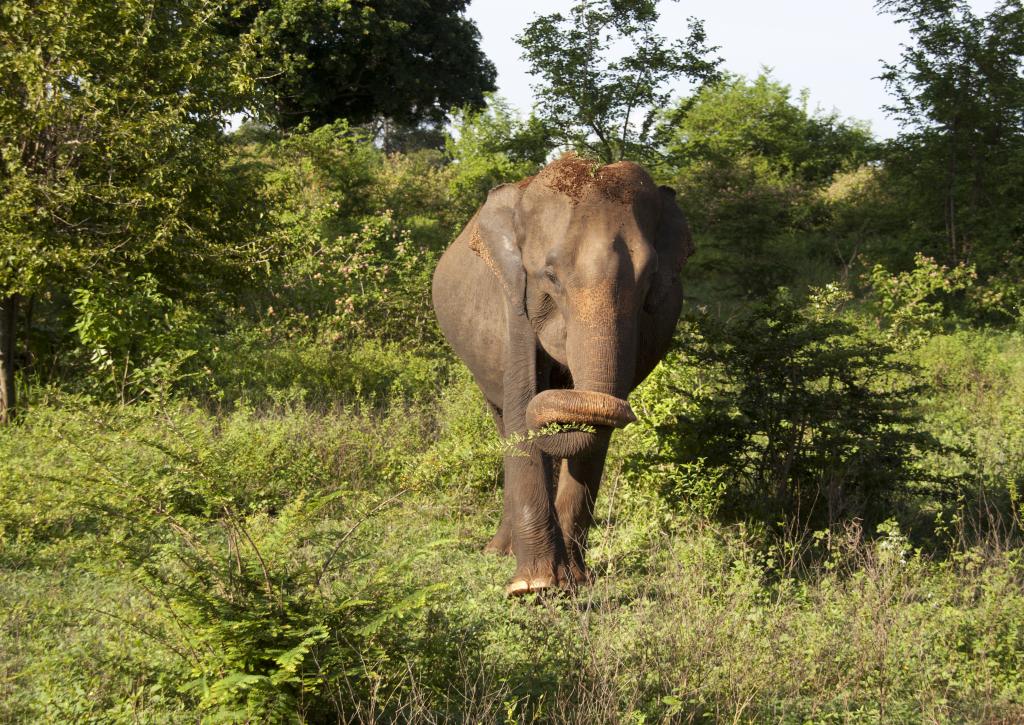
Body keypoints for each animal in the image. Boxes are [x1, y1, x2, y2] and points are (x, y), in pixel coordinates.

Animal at [428, 152, 692, 593]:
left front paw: (572, 582)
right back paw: (500, 552)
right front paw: (533, 587)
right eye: (549, 277)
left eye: (649, 279)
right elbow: (522, 404)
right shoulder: (513, 298)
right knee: (504, 419)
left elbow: (595, 423)